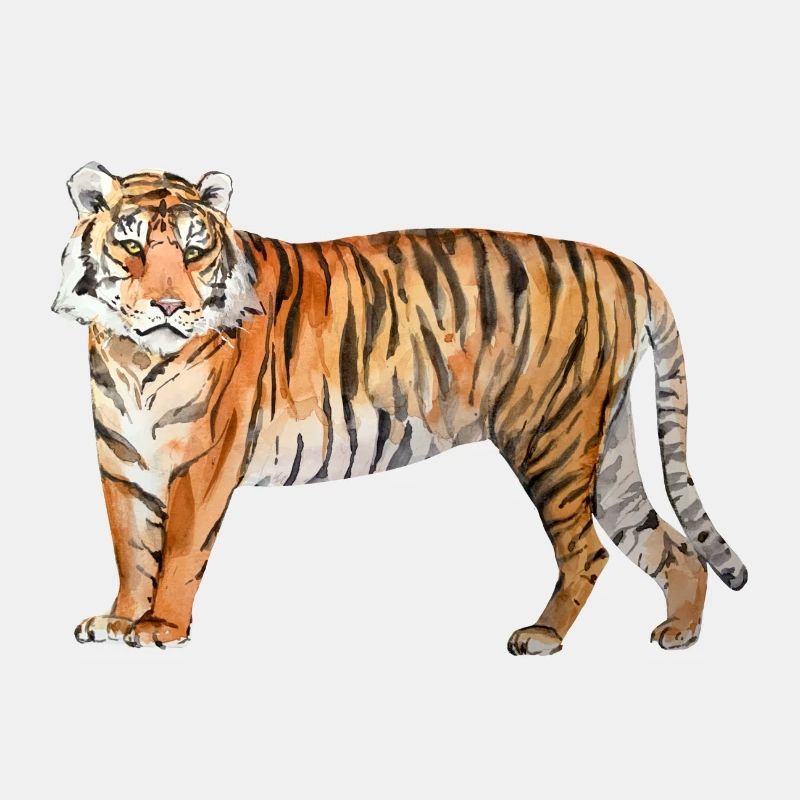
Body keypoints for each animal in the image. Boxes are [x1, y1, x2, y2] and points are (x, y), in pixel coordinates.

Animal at [53, 162, 747, 652]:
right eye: (132, 247)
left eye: (194, 249)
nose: (170, 307)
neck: (134, 355)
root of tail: (622, 264)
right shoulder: (121, 461)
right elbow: (131, 548)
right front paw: (118, 619)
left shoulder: (205, 462)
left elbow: (178, 551)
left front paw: (159, 629)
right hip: (606, 451)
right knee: (668, 544)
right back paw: (681, 634)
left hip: (552, 438)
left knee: (589, 550)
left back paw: (543, 636)